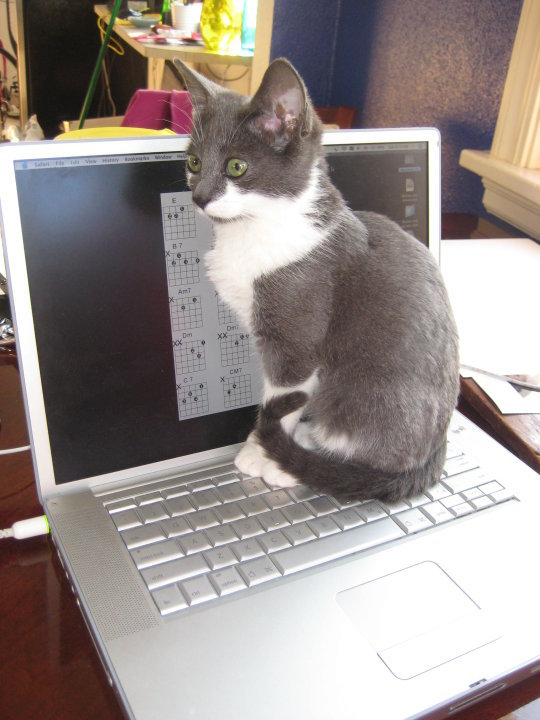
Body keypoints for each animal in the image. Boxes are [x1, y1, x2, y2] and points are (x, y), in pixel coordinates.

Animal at [174, 57, 460, 502]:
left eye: (237, 166)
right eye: (194, 163)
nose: (199, 197)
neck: (256, 229)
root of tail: (432, 456)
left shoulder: (296, 334)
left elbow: (285, 394)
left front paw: (260, 452)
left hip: (363, 393)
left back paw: (301, 459)